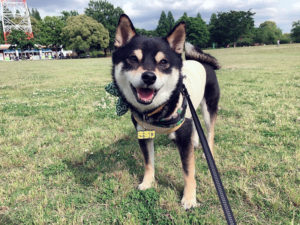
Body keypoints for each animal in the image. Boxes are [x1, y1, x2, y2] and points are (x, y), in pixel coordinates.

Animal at [110, 14, 220, 209]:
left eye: (163, 62)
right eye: (133, 59)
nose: (149, 76)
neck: (156, 111)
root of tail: (201, 61)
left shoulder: (183, 134)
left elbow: (188, 170)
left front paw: (189, 198)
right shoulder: (143, 133)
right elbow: (148, 162)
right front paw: (147, 183)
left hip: (208, 109)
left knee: (210, 131)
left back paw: (208, 151)